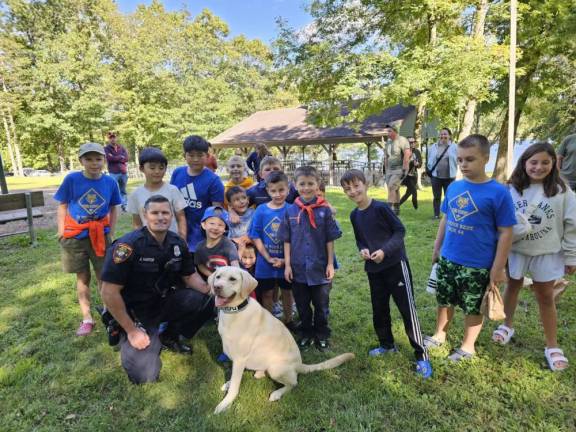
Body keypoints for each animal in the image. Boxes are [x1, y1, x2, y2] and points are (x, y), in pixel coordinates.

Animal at [209, 264, 354, 414]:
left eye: (232, 279)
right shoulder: (236, 359)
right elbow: (233, 378)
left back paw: (277, 393)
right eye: (218, 277)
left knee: (294, 383)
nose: (216, 287)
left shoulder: (239, 359)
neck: (234, 312)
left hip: (275, 368)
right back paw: (259, 372)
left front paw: (225, 403)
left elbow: (235, 385)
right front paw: (228, 384)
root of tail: (299, 364)